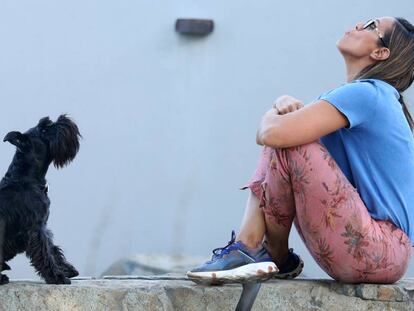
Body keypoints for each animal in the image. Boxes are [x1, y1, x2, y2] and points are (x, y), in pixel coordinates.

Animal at [0, 115, 81, 286]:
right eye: (43, 129)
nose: (65, 119)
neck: (25, 178)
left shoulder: (43, 226)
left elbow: (52, 248)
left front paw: (67, 270)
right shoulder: (35, 228)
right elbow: (44, 253)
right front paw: (57, 277)